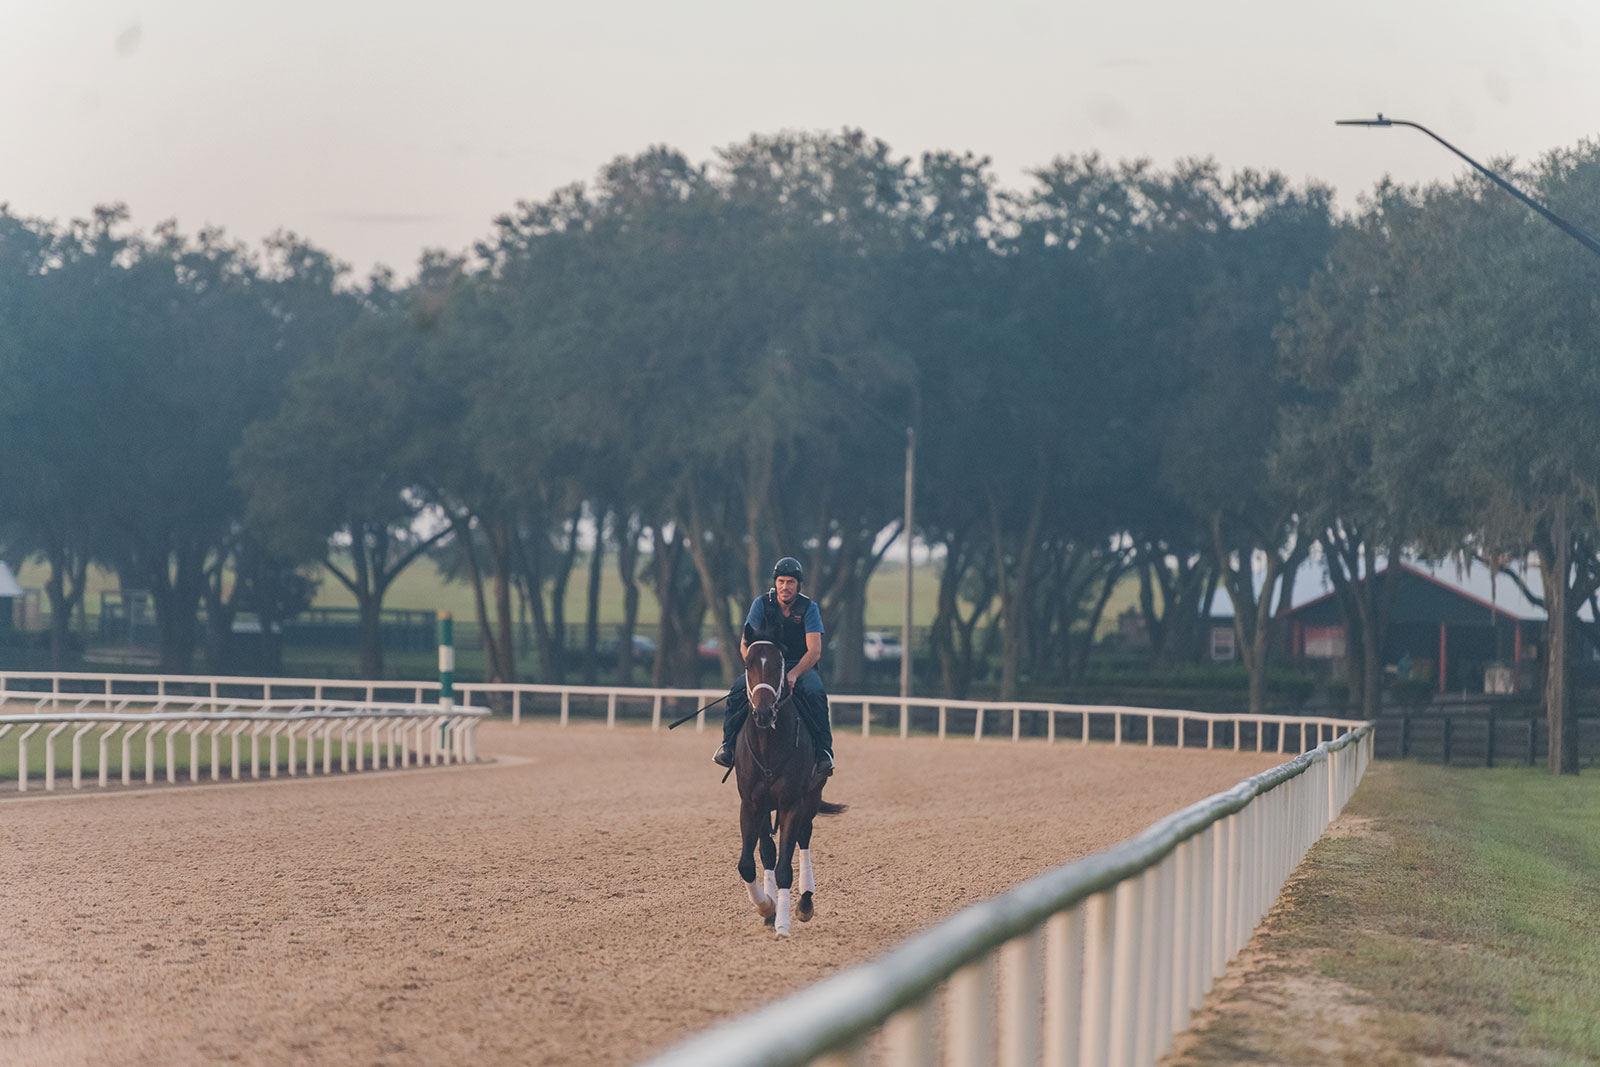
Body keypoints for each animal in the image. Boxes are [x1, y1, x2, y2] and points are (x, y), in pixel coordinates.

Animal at [732, 620, 844, 940]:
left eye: (779, 664)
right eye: (748, 664)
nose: (763, 712)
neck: (769, 744)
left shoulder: (792, 803)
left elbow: (785, 866)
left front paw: (782, 923)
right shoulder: (751, 804)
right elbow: (749, 863)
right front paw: (766, 907)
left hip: (812, 796)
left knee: (804, 837)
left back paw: (805, 901)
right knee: (768, 852)